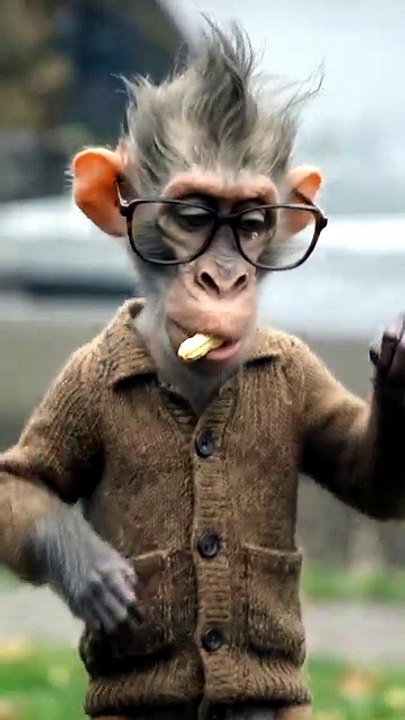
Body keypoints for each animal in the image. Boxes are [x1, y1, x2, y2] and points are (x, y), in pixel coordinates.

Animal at [1, 19, 405, 720]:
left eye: (253, 222)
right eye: (193, 218)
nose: (224, 279)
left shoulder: (299, 368)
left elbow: (364, 479)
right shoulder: (83, 377)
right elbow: (22, 483)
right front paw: (89, 569)